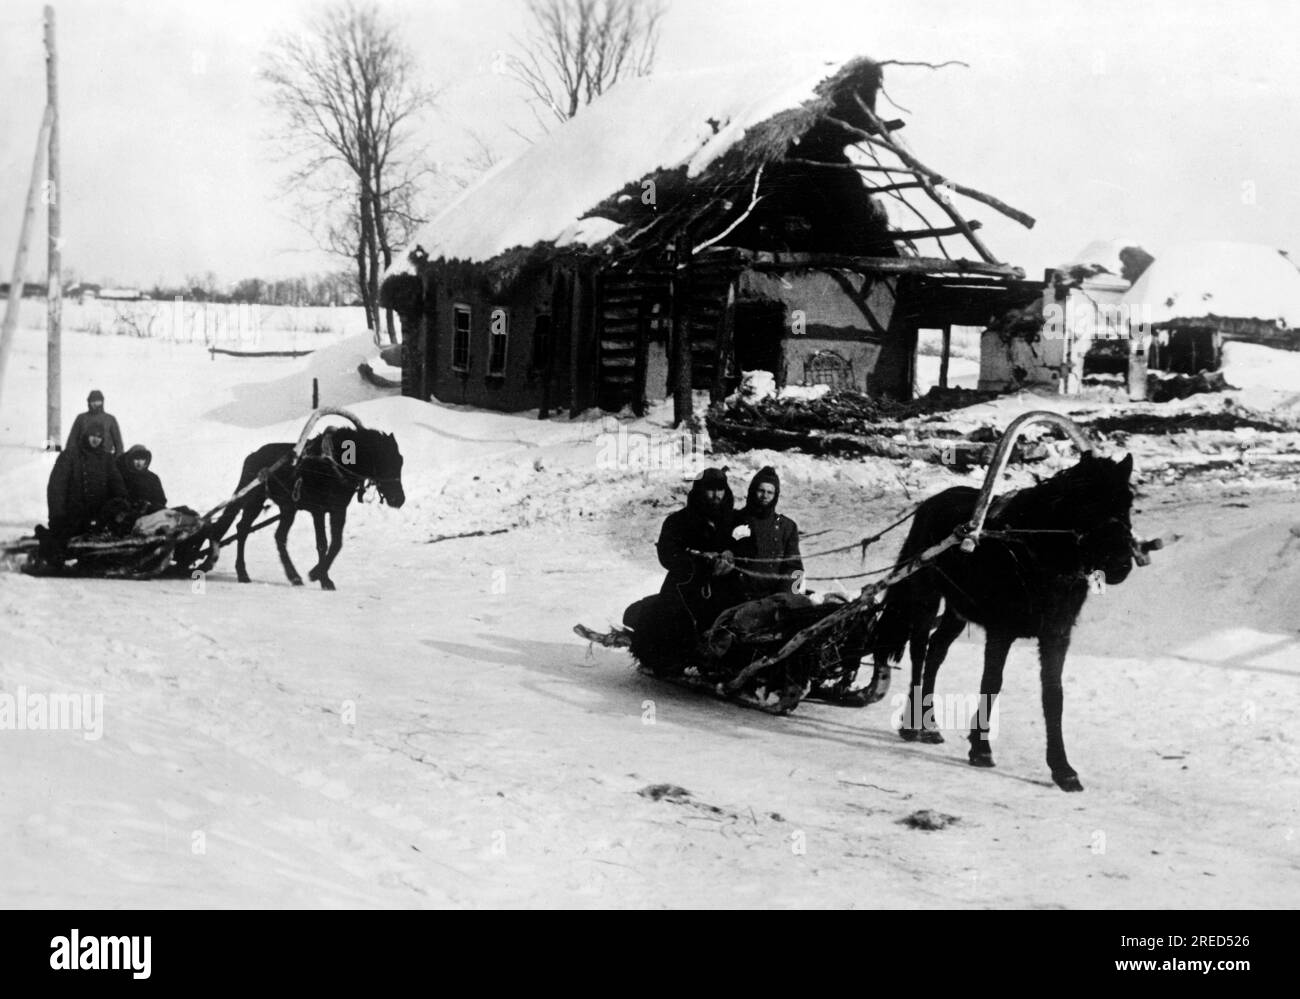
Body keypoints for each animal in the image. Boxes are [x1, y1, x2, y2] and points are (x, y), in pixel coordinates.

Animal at [202, 426, 403, 587]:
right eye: (385, 462)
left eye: (400, 461)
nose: (399, 499)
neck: (333, 466)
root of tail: (253, 456)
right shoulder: (318, 511)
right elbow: (322, 544)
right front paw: (319, 576)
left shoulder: (338, 510)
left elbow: (336, 544)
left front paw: (322, 576)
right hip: (255, 501)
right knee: (243, 529)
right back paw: (246, 573)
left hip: (287, 508)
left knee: (275, 535)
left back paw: (291, 576)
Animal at [873, 450, 1138, 790]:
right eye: (1090, 502)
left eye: (1127, 501)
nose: (1121, 564)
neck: (1035, 552)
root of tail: (931, 503)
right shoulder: (1001, 631)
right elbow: (991, 683)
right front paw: (981, 748)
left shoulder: (1056, 635)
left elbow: (1053, 695)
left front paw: (1062, 768)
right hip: (926, 599)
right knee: (919, 652)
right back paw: (912, 724)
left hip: (957, 611)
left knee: (936, 651)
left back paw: (930, 726)